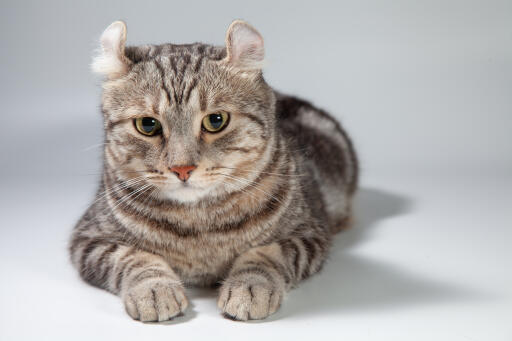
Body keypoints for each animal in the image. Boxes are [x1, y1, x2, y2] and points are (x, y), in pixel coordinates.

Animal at [68, 19, 358, 320]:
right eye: (147, 125)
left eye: (216, 121)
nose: (182, 168)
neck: (199, 227)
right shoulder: (89, 238)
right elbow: (133, 258)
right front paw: (154, 289)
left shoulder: (308, 233)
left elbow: (268, 254)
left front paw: (249, 287)